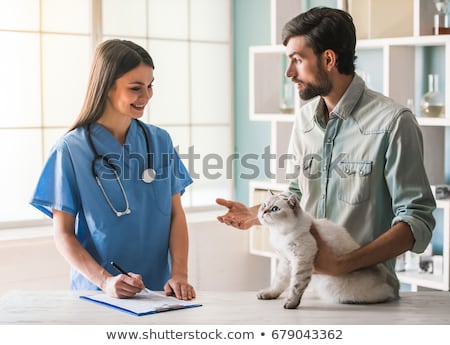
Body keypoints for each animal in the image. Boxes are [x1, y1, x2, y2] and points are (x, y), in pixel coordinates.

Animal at [256, 192, 400, 308]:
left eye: (275, 209)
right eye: (264, 206)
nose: (263, 212)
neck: (279, 234)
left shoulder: (301, 260)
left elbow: (296, 286)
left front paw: (291, 304)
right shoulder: (286, 261)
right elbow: (279, 282)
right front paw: (268, 294)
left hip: (341, 291)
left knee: (386, 295)